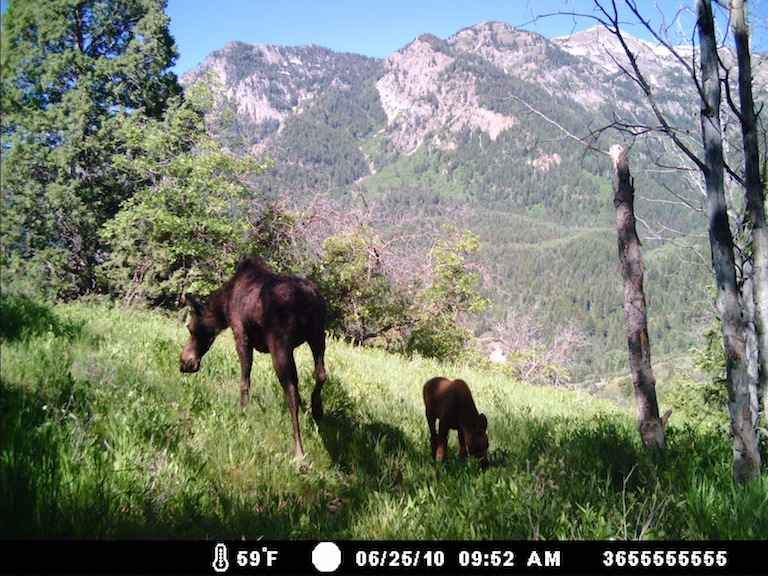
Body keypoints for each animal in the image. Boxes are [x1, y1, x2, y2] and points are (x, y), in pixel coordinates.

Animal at [180, 256, 328, 464]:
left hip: (280, 343)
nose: (184, 362)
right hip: (317, 334)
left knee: (291, 392)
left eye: (190, 327)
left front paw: (243, 413)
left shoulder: (241, 335)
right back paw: (317, 410)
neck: (224, 305)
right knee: (320, 373)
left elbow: (245, 382)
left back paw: (299, 453)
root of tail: (310, 298)